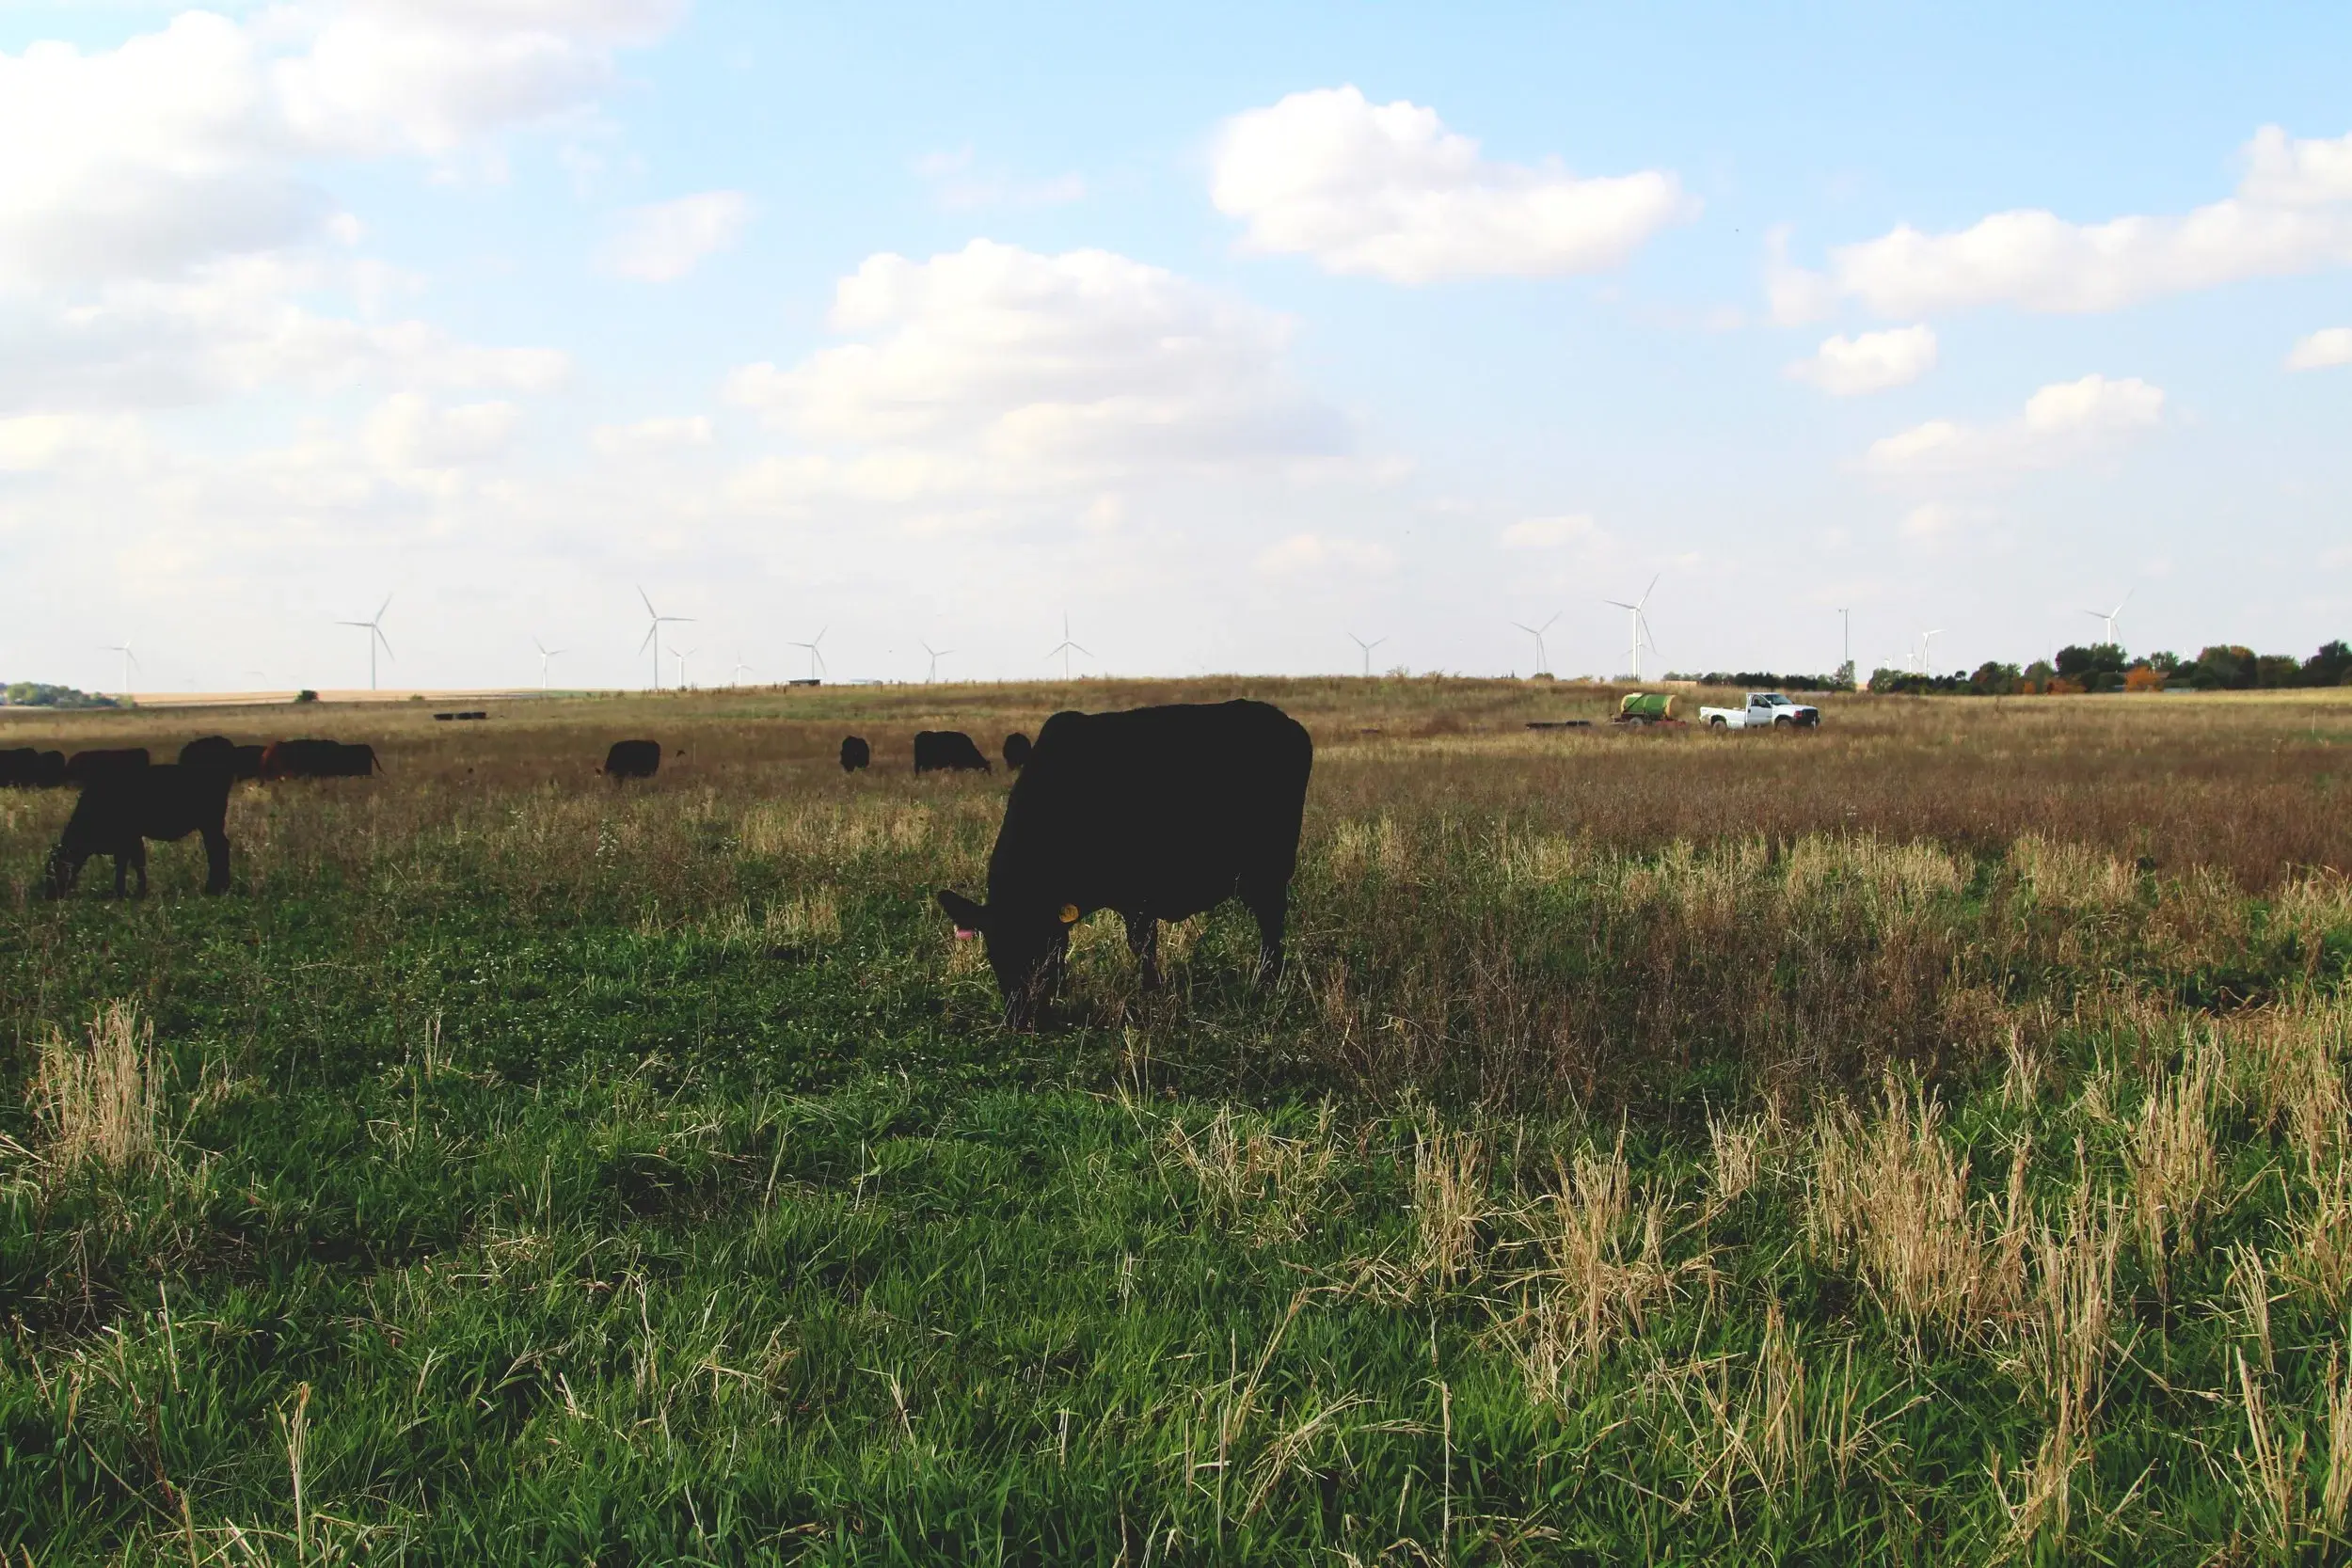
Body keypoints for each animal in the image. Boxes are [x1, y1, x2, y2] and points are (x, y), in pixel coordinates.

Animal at [44, 764, 233, 899]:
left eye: (55, 870)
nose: (50, 895)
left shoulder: (130, 839)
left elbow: (134, 863)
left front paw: (131, 892)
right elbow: (127, 864)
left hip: (210, 824)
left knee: (219, 848)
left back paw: (216, 888)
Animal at [934, 699, 1313, 1030]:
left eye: (1039, 951)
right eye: (994, 955)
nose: (1021, 1020)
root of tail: (1282, 720)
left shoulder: (1139, 895)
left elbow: (1143, 945)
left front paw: (1151, 991)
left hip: (1270, 868)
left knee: (1271, 921)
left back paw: (1269, 978)